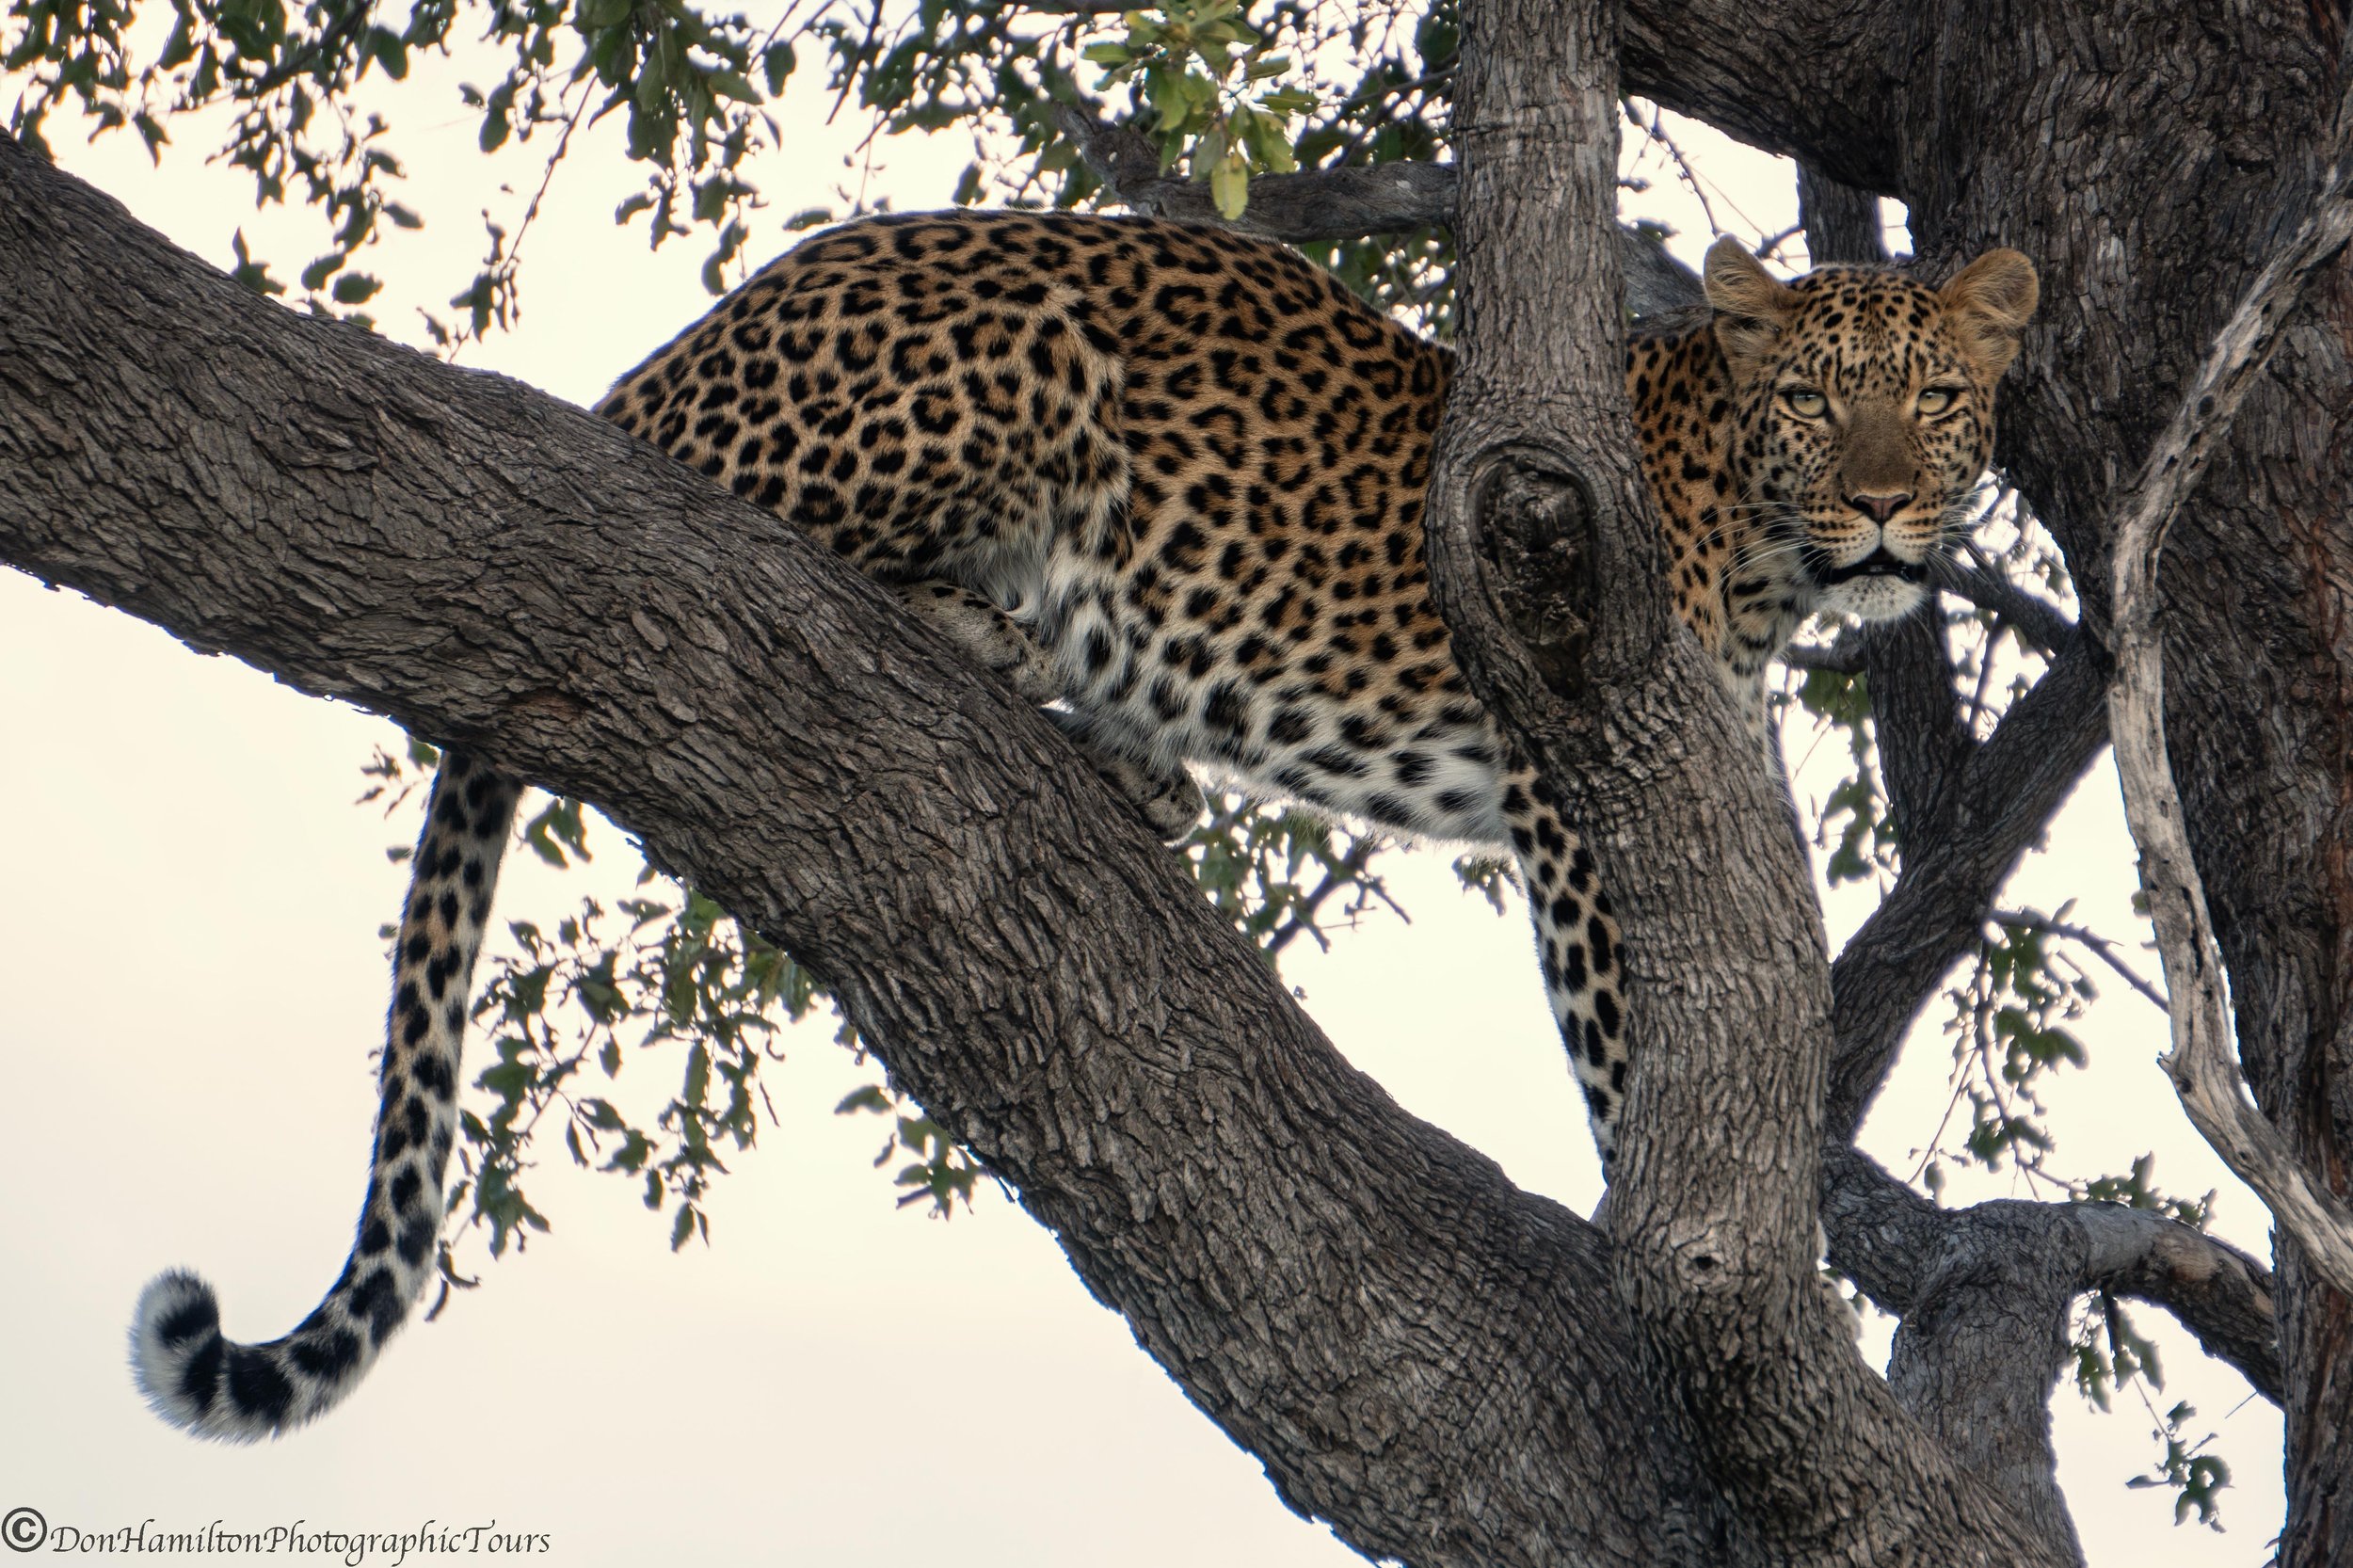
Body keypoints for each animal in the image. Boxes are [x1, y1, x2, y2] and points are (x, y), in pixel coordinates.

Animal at [127, 210, 2037, 1440]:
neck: (1759, 533)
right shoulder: (1576, 776)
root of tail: (664, 362)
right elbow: (1632, 1044)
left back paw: (1125, 748)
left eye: (1937, 403)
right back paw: (1005, 640)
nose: (1886, 506)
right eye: (1819, 401)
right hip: (1007, 359)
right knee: (752, 533)